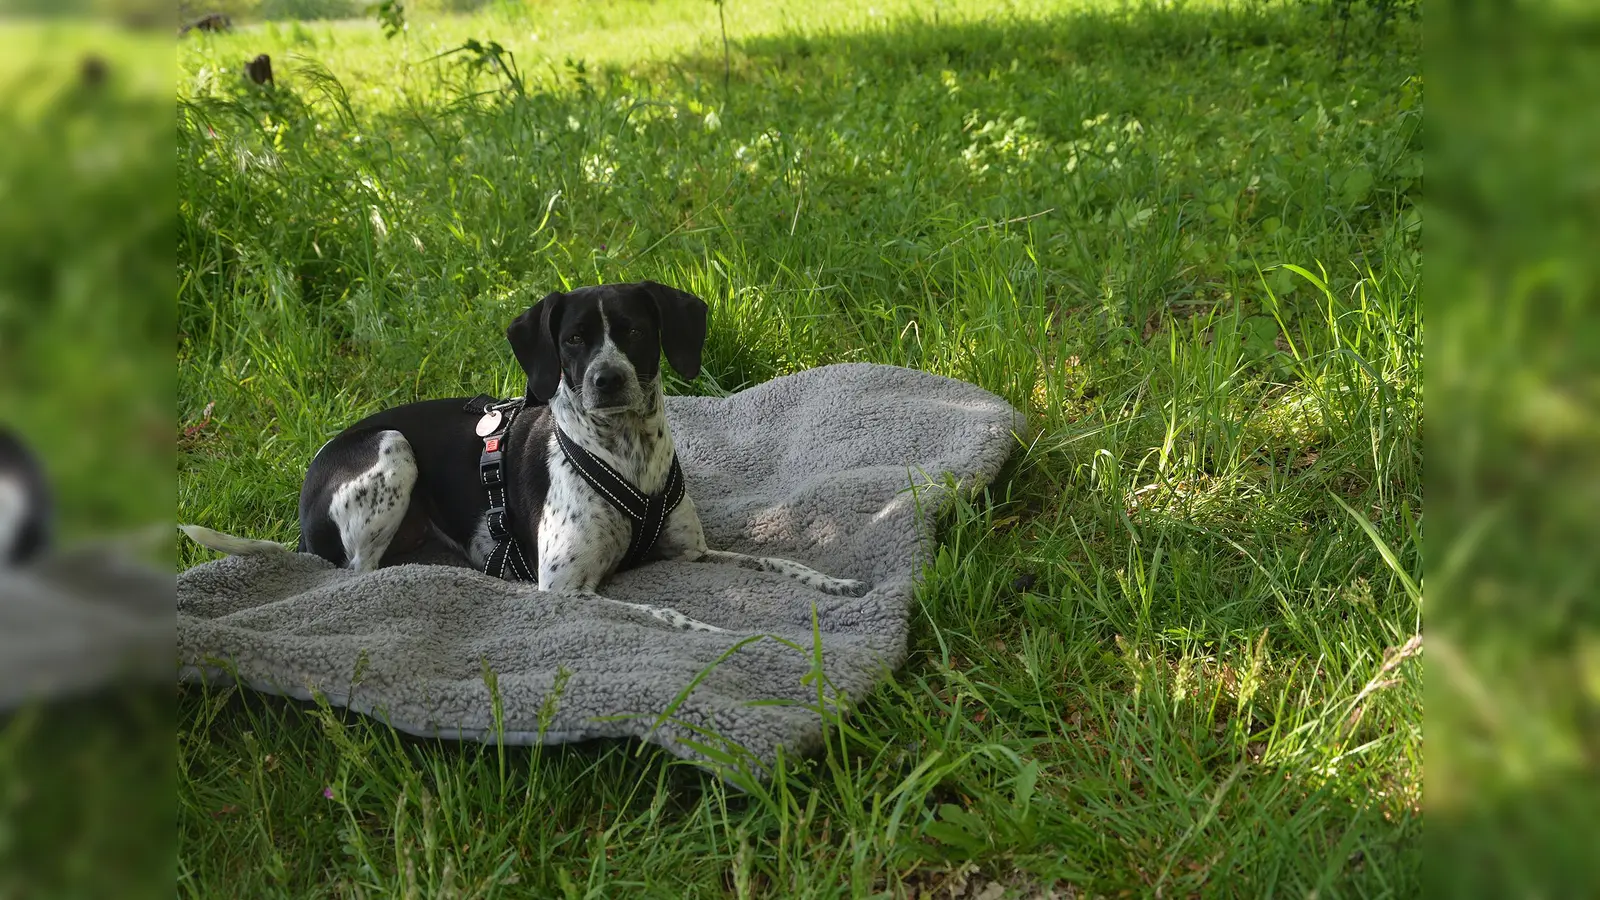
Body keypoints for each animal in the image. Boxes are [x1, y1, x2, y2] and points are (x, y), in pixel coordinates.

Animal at [181, 283, 870, 627]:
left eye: (635, 332)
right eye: (573, 340)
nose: (606, 381)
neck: (625, 454)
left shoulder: (691, 552)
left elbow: (775, 562)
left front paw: (831, 582)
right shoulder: (566, 586)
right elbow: (669, 614)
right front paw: (715, 631)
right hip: (392, 450)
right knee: (358, 572)